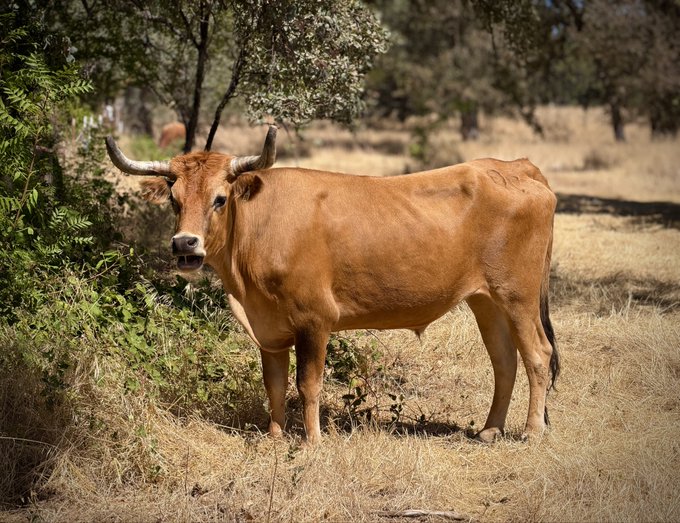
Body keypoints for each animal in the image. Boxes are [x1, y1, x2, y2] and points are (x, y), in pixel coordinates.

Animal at [105, 125, 559, 445]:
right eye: (174, 200)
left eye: (219, 198)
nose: (185, 244)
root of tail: (515, 167)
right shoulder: (269, 330)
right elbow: (274, 383)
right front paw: (274, 436)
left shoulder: (314, 320)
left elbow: (308, 384)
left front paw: (312, 441)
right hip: (487, 301)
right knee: (505, 361)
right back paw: (489, 430)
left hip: (517, 296)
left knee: (537, 354)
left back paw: (532, 431)